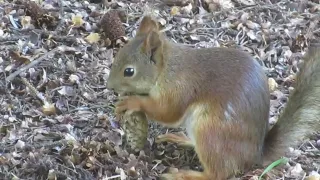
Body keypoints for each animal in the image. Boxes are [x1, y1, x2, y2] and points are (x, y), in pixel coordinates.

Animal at [105, 16, 320, 179]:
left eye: (129, 71)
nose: (109, 86)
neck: (167, 69)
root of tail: (254, 155)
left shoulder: (179, 88)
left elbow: (167, 111)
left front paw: (131, 102)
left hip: (211, 132)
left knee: (217, 174)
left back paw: (184, 175)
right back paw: (181, 139)